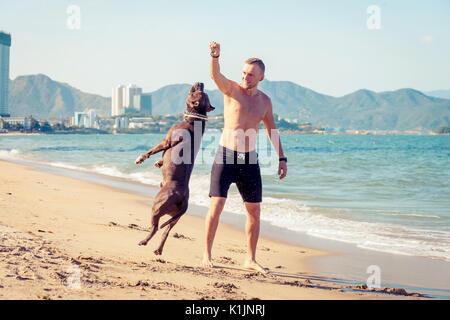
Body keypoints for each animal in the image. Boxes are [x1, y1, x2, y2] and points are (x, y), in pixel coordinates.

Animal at [134, 82, 214, 255]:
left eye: (198, 92)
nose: (201, 83)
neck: (194, 118)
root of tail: (183, 199)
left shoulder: (166, 140)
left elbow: (152, 149)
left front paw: (141, 158)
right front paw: (159, 163)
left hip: (157, 206)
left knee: (155, 227)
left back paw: (144, 241)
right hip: (175, 218)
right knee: (166, 231)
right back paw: (158, 250)